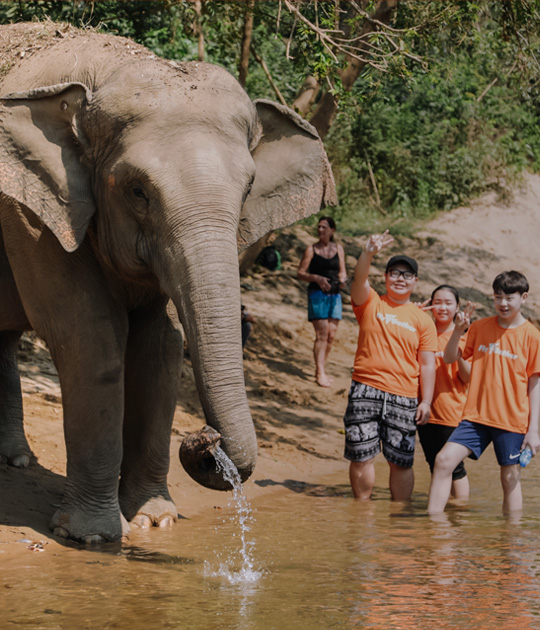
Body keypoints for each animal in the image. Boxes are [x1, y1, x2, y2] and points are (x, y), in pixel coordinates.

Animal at [0, 22, 336, 544]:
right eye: (137, 191)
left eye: (248, 188)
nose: (206, 438)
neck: (105, 70)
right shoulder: (32, 218)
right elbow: (90, 337)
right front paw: (91, 535)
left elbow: (162, 344)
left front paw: (154, 519)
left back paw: (17, 460)